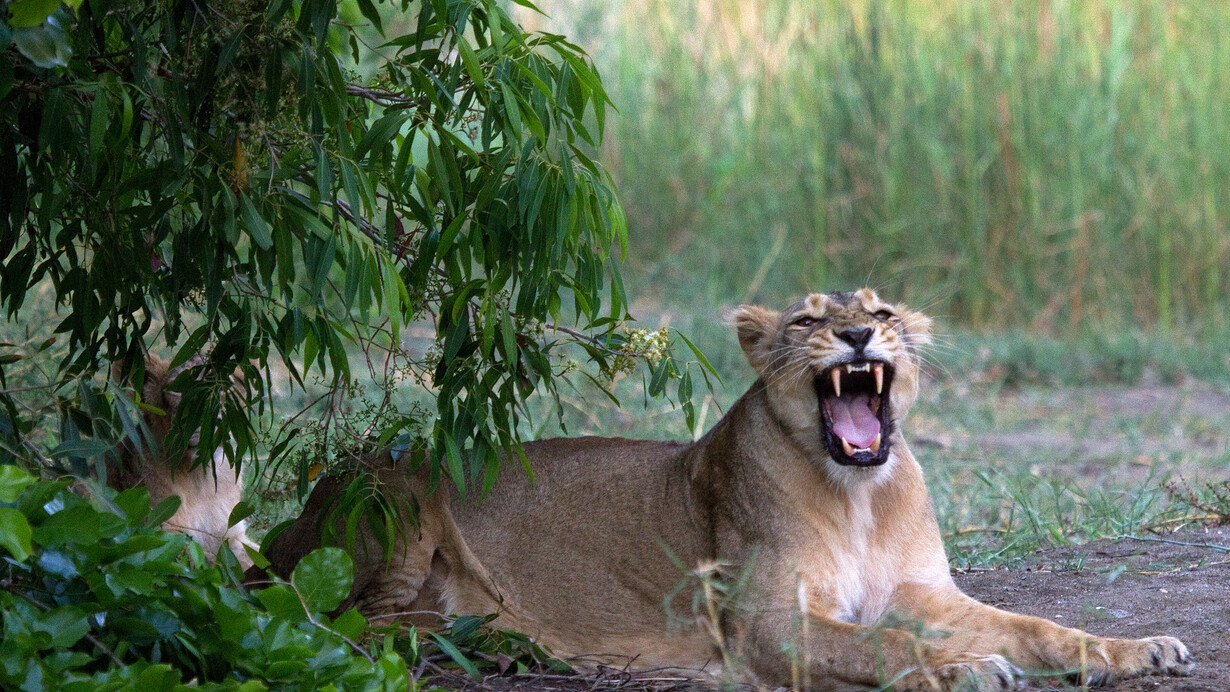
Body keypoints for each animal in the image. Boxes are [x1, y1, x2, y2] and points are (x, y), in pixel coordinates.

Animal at [111, 355, 256, 569]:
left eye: (224, 387)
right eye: (177, 389)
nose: (211, 419)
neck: (201, 479)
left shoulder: (232, 535)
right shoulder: (158, 532)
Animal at [261, 289, 1192, 690]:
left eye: (883, 314)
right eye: (809, 320)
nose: (858, 335)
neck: (859, 495)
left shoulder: (924, 591)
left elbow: (1036, 626)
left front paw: (1134, 650)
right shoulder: (764, 623)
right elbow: (881, 646)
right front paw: (964, 669)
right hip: (394, 489)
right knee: (352, 625)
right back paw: (495, 638)